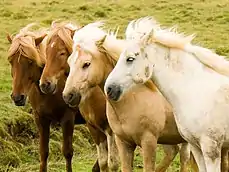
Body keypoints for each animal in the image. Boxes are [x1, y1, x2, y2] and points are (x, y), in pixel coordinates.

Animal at [6, 23, 96, 172]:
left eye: (30, 61)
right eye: (11, 61)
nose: (17, 97)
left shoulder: (67, 119)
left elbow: (67, 152)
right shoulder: (40, 119)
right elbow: (43, 152)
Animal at [38, 21, 119, 172]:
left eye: (62, 52)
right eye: (46, 51)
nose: (45, 84)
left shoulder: (110, 130)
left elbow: (113, 163)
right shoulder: (94, 128)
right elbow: (103, 162)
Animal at [62, 21, 197, 172]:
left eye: (86, 64)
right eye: (69, 62)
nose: (68, 95)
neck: (132, 99)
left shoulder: (148, 142)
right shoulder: (123, 143)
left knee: (184, 158)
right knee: (172, 153)